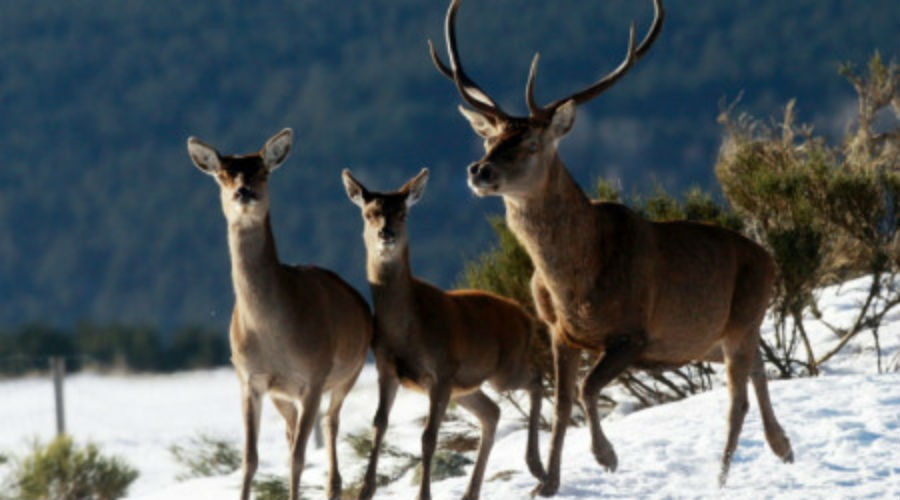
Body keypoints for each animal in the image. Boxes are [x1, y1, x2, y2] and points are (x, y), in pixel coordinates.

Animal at [188, 130, 370, 500]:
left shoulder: (313, 376)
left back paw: (334, 484)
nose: (244, 191)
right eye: (223, 174)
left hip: (350, 371)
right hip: (282, 395)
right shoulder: (249, 380)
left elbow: (299, 458)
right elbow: (249, 460)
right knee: (291, 431)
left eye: (263, 171)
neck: (273, 336)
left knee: (330, 424)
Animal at [342, 168, 540, 500]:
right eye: (369, 214)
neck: (406, 331)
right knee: (492, 412)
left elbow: (429, 437)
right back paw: (472, 492)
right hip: (467, 386)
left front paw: (424, 495)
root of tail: (525, 315)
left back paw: (538, 467)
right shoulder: (387, 368)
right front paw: (364, 491)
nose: (386, 233)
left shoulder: (442, 370)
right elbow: (379, 425)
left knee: (536, 382)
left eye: (403, 213)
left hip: (503, 369)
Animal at [430, 0, 796, 492]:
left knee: (737, 398)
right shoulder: (558, 332)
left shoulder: (634, 333)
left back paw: (720, 479)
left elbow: (587, 390)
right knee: (758, 370)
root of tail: (769, 258)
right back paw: (783, 447)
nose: (479, 170)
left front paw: (606, 456)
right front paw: (547, 483)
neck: (574, 281)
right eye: (489, 137)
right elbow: (563, 404)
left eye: (530, 143)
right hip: (720, 337)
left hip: (742, 317)